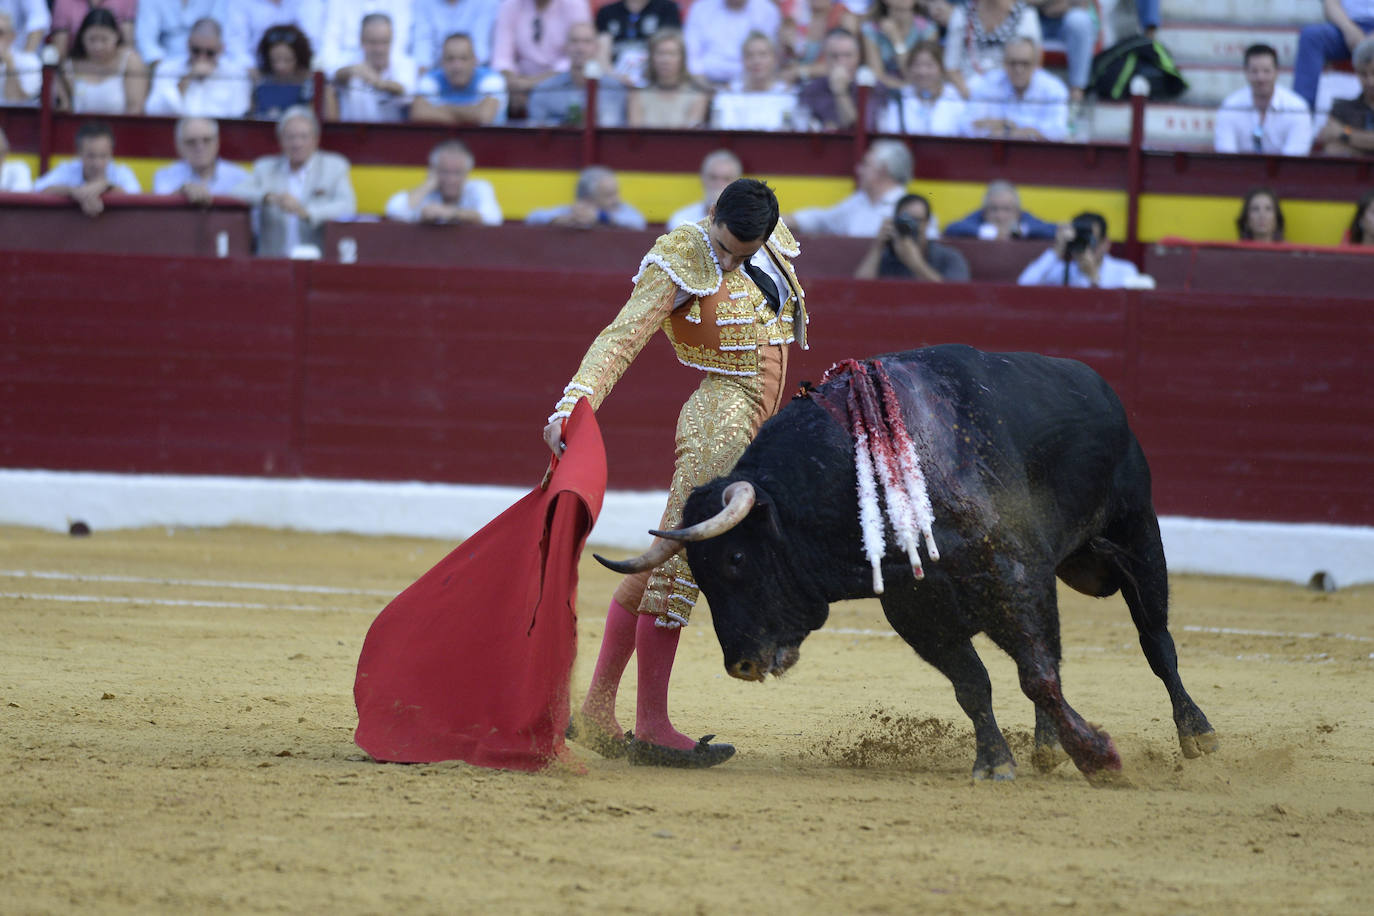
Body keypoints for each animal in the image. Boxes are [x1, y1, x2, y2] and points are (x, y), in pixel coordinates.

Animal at [601, 343, 1214, 780]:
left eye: (735, 558)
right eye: (701, 573)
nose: (742, 665)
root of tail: (1098, 385)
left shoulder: (1013, 575)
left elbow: (1037, 675)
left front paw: (1098, 757)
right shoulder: (918, 610)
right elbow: (975, 684)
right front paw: (995, 762)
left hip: (1137, 534)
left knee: (1155, 640)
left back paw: (1196, 733)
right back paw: (1047, 747)